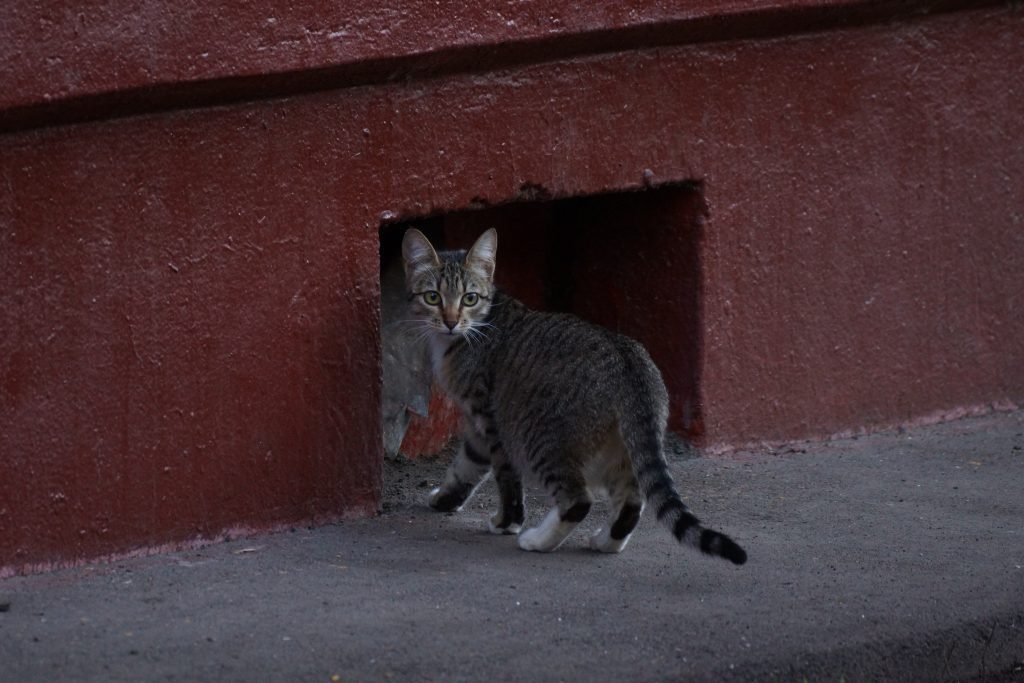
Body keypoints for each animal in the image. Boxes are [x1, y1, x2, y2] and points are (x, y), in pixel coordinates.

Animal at [399, 227, 745, 565]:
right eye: (433, 297)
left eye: (469, 298)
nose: (450, 321)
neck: (477, 325)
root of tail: (628, 363)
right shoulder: (475, 428)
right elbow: (465, 466)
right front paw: (445, 499)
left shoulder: (488, 418)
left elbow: (504, 478)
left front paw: (507, 522)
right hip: (622, 450)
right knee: (632, 500)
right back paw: (606, 541)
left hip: (542, 439)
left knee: (579, 500)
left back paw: (538, 540)